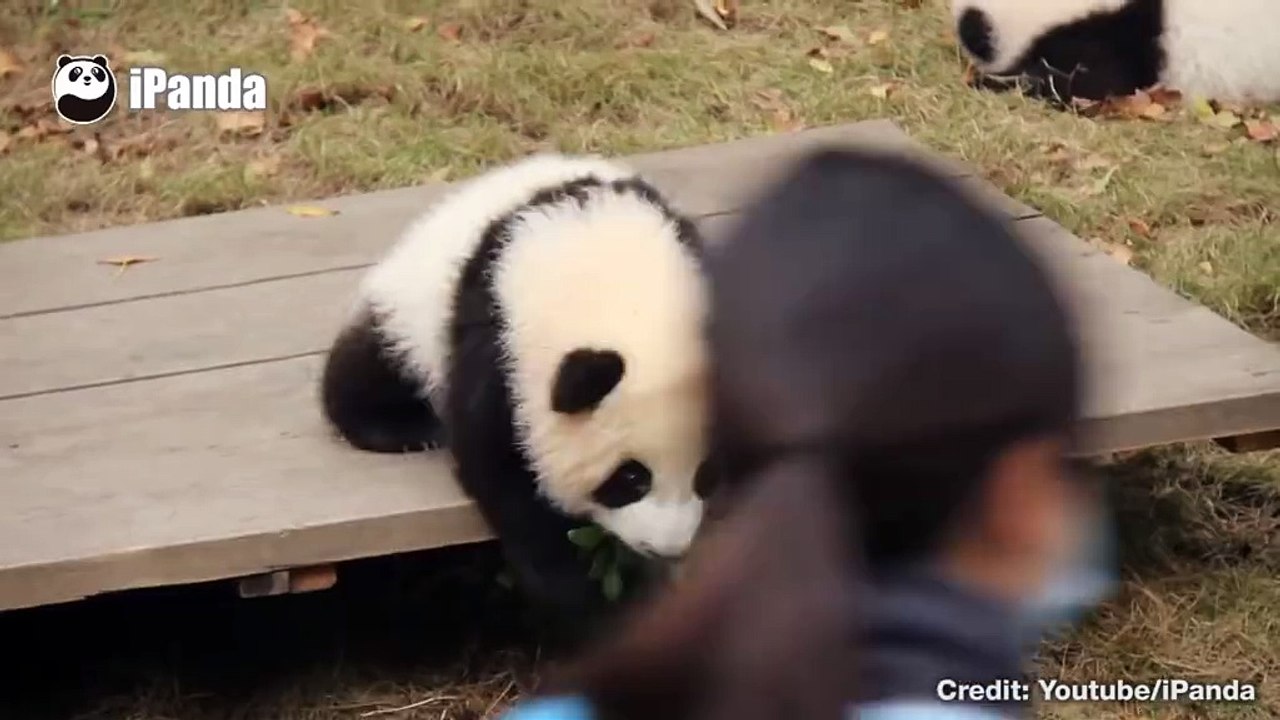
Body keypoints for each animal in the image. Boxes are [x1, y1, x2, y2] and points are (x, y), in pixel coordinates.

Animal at [320, 153, 718, 631]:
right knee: (371, 366)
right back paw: (407, 428)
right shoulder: (498, 345)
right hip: (410, 311)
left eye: (707, 472)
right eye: (630, 478)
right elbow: (505, 475)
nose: (669, 548)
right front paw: (596, 607)